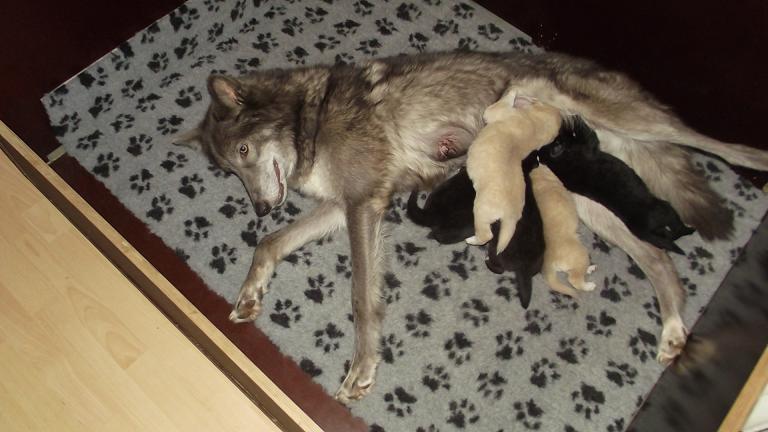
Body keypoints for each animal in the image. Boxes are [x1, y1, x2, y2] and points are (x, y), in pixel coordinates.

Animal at [464, 92, 560, 253]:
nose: (532, 98)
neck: (535, 126)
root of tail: (511, 216)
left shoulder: (497, 113)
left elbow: (493, 109)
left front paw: (513, 92)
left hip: (480, 210)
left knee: (486, 235)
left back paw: (471, 240)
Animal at [536, 116, 696, 255]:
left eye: (556, 139)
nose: (562, 127)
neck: (559, 163)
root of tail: (643, 230)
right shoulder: (588, 147)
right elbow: (590, 136)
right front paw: (578, 124)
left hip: (659, 229)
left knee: (670, 237)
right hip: (665, 209)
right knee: (677, 228)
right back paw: (689, 230)